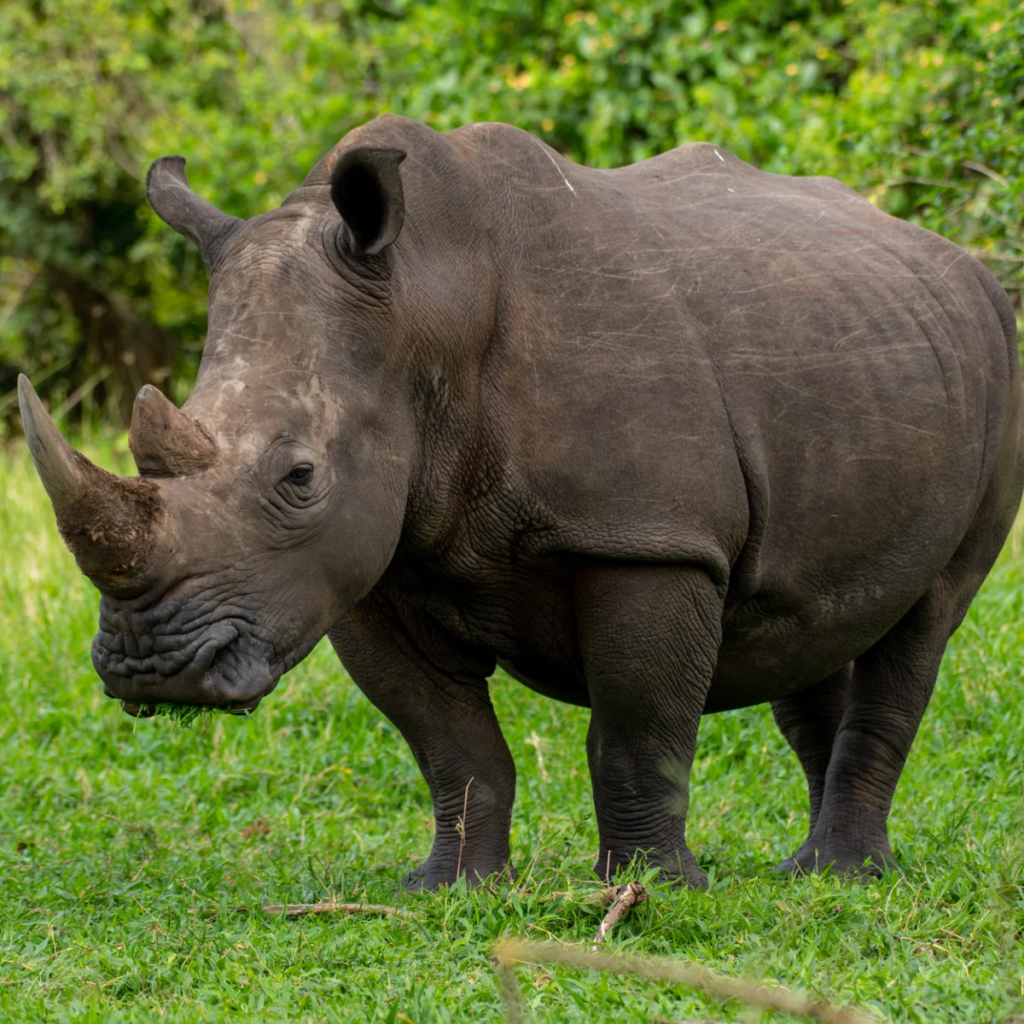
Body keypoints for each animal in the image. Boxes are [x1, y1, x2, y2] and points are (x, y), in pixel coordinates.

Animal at [19, 115, 1023, 890]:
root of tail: (958, 261)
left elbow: (636, 730)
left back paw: (843, 875)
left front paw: (650, 891)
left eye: (299, 477)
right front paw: (451, 888)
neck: (423, 306)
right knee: (809, 621)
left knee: (927, 619)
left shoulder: (646, 539)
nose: (153, 671)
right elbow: (450, 741)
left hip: (997, 359)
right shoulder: (365, 565)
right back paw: (806, 871)